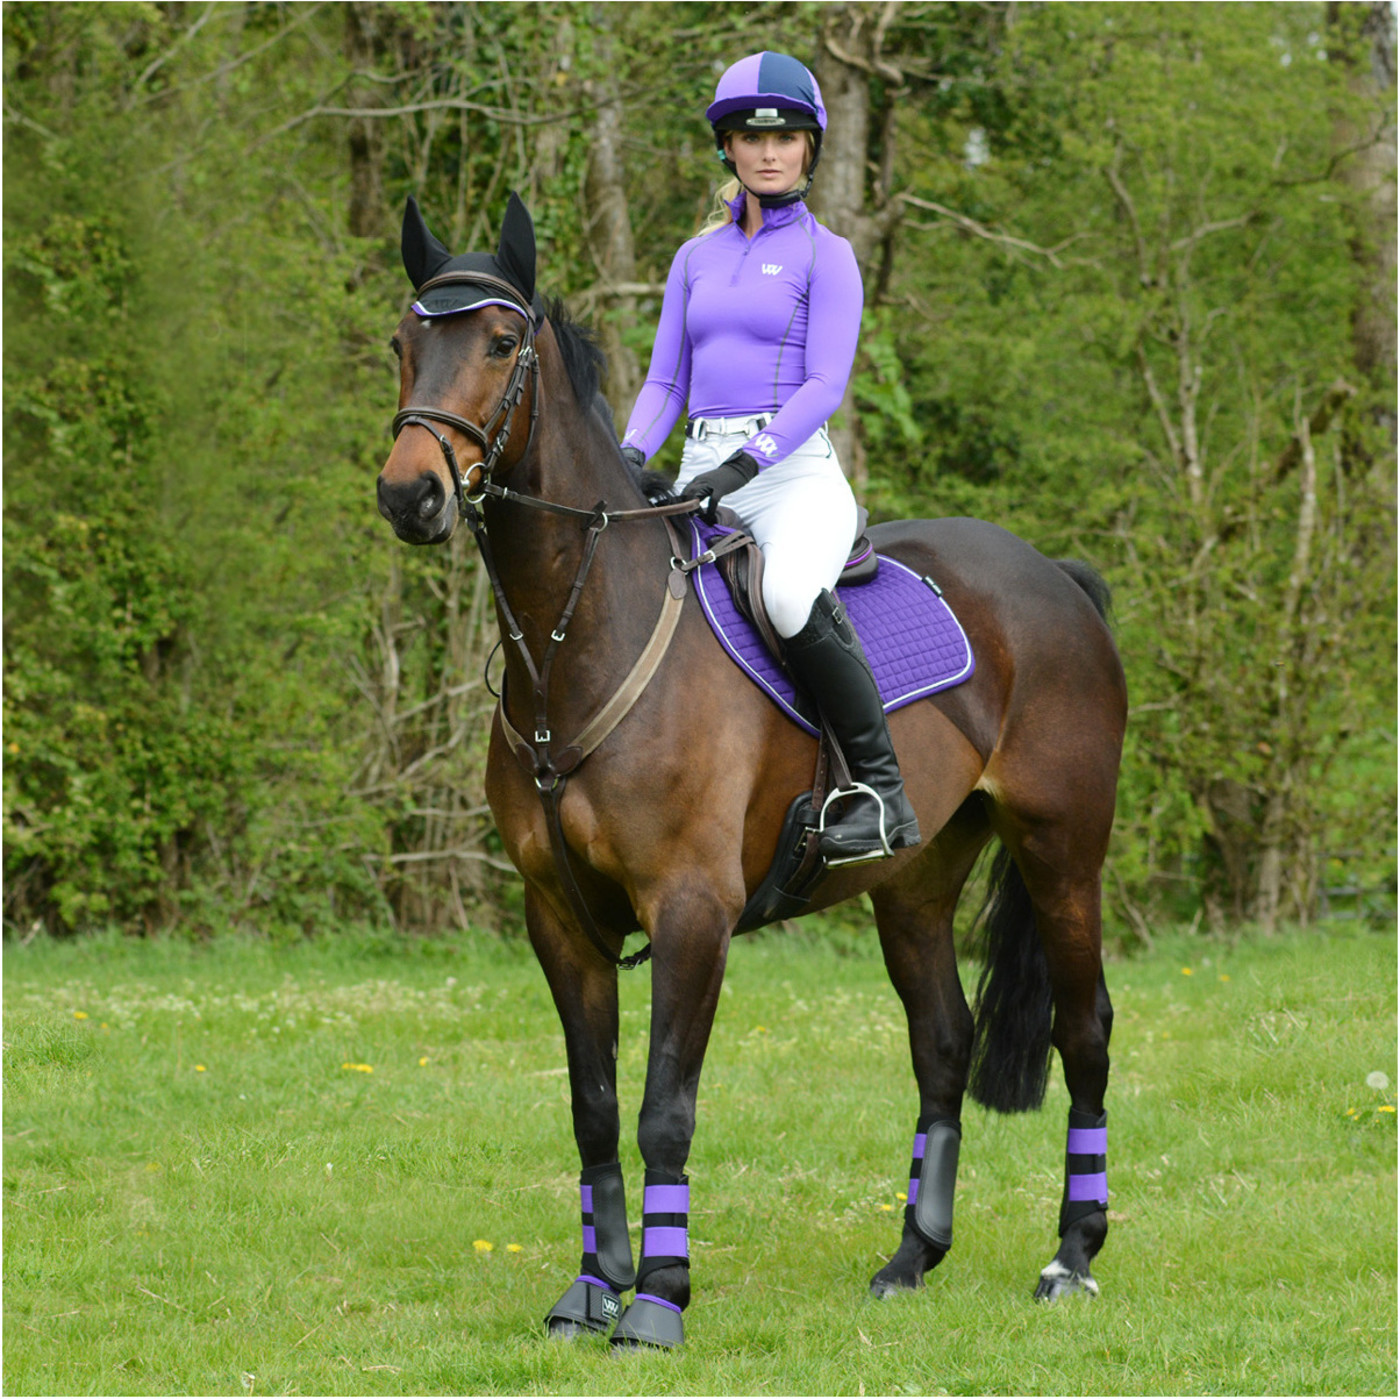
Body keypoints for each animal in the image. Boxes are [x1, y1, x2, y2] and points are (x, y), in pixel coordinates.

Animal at [376, 193, 1128, 1348]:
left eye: (499, 343)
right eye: (401, 346)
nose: (408, 494)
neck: (575, 641)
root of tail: (1053, 575)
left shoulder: (692, 908)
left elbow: (663, 1107)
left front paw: (657, 1298)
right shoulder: (560, 918)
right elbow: (593, 1105)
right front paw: (593, 1288)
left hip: (1060, 850)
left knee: (1083, 1031)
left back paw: (1071, 1256)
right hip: (915, 880)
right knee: (942, 1042)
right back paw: (912, 1255)